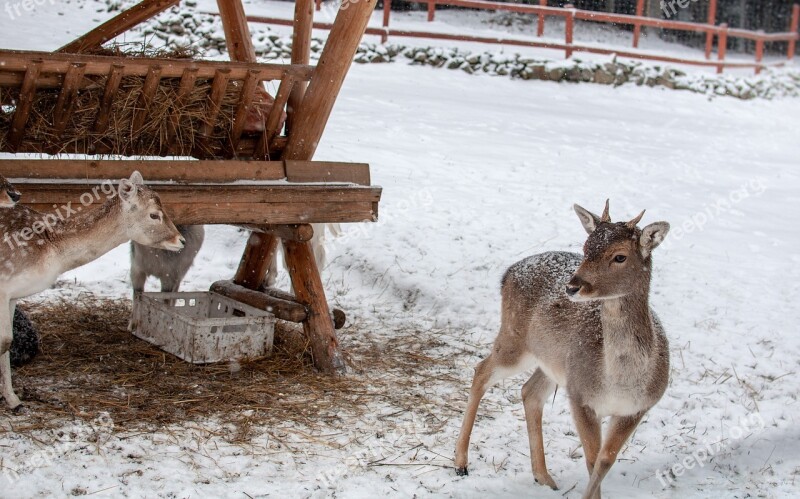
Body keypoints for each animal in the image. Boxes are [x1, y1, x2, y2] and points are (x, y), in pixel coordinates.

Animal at [0, 170, 183, 408]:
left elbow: (9, 341)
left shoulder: (13, 294)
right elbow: (4, 342)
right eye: (154, 215)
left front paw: (13, 400)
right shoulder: (3, 287)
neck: (51, 246)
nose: (181, 240)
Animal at [456, 202, 668, 499]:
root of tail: (507, 273)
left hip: (553, 363)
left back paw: (543, 476)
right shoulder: (580, 396)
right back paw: (461, 462)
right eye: (586, 247)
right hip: (515, 338)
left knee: (529, 391)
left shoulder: (639, 408)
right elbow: (592, 460)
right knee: (481, 370)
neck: (620, 382)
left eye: (620, 257)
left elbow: (605, 461)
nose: (573, 286)